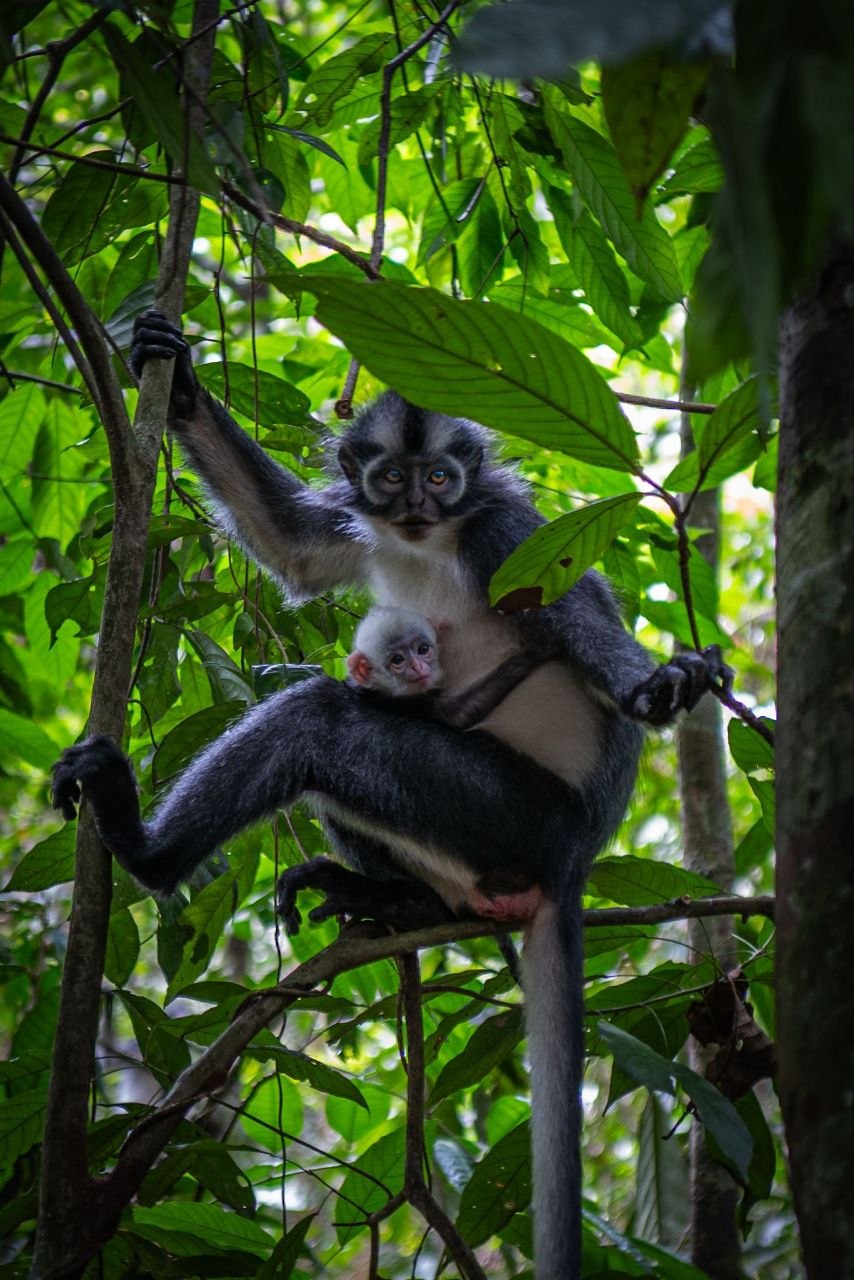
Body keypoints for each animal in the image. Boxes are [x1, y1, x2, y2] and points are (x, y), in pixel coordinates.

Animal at [52, 309, 728, 1280]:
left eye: (442, 478)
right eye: (392, 478)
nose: (416, 504)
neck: (427, 541)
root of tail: (573, 857)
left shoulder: (502, 533)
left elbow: (575, 628)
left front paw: (657, 686)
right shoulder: (367, 528)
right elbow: (296, 550)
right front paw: (171, 373)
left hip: (505, 811)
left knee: (322, 722)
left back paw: (145, 848)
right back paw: (398, 902)